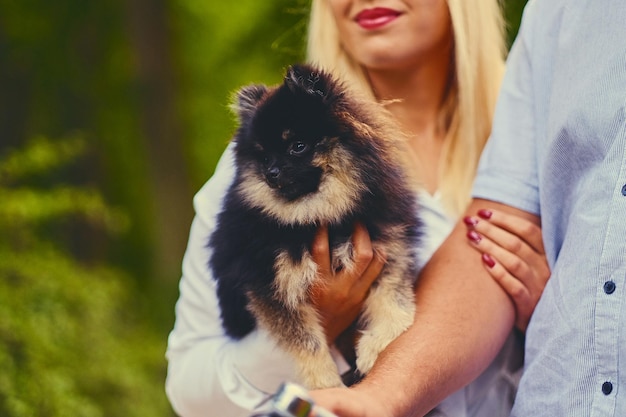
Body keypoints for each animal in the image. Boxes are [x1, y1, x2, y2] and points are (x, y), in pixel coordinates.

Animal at [208, 63, 420, 388]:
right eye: (264, 156)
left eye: (298, 146)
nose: (271, 173)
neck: (319, 215)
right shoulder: (271, 283)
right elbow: (306, 342)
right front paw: (325, 383)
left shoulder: (390, 250)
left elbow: (395, 303)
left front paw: (375, 347)